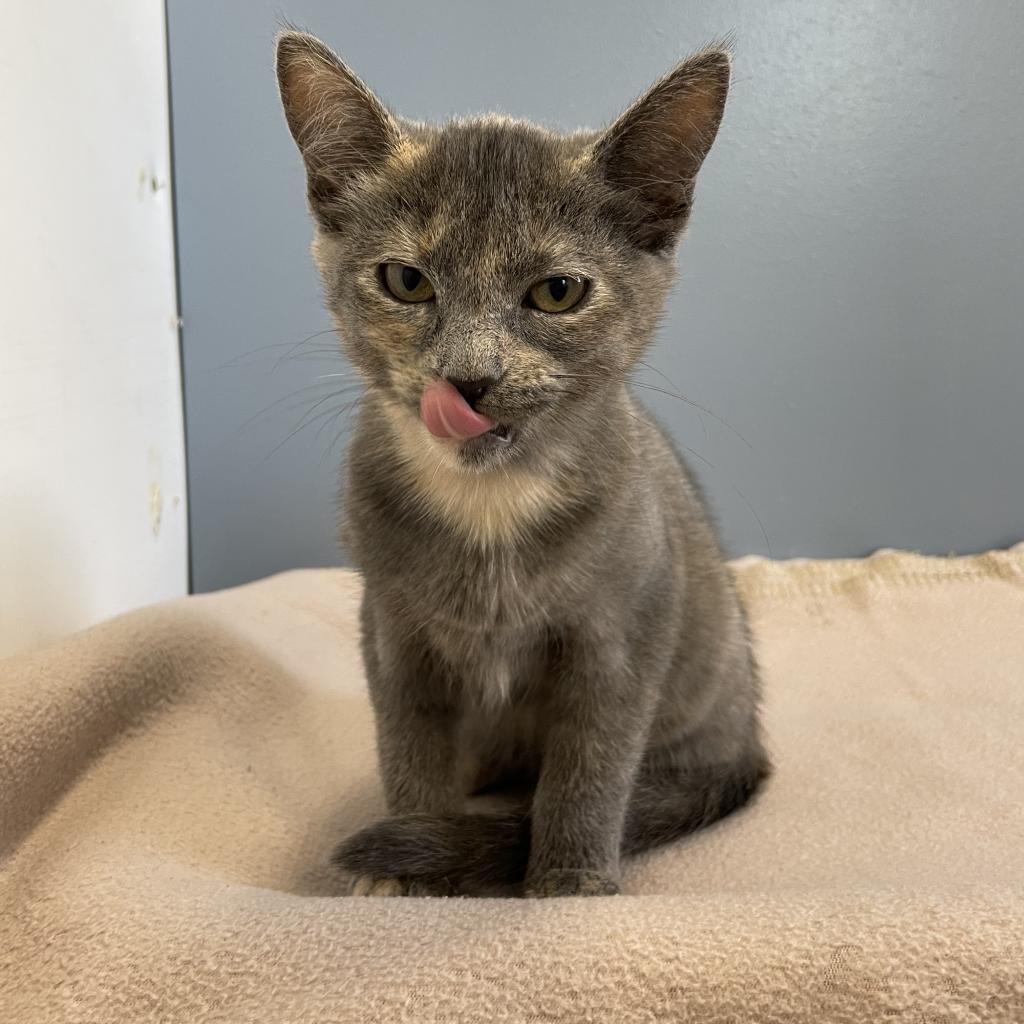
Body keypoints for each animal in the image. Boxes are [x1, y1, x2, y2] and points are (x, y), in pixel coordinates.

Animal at [274, 29, 770, 897]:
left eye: (558, 292)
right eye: (406, 280)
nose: (468, 380)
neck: (490, 504)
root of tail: (751, 747)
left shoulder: (623, 632)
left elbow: (590, 769)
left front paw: (568, 884)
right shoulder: (394, 629)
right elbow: (408, 747)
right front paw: (402, 873)